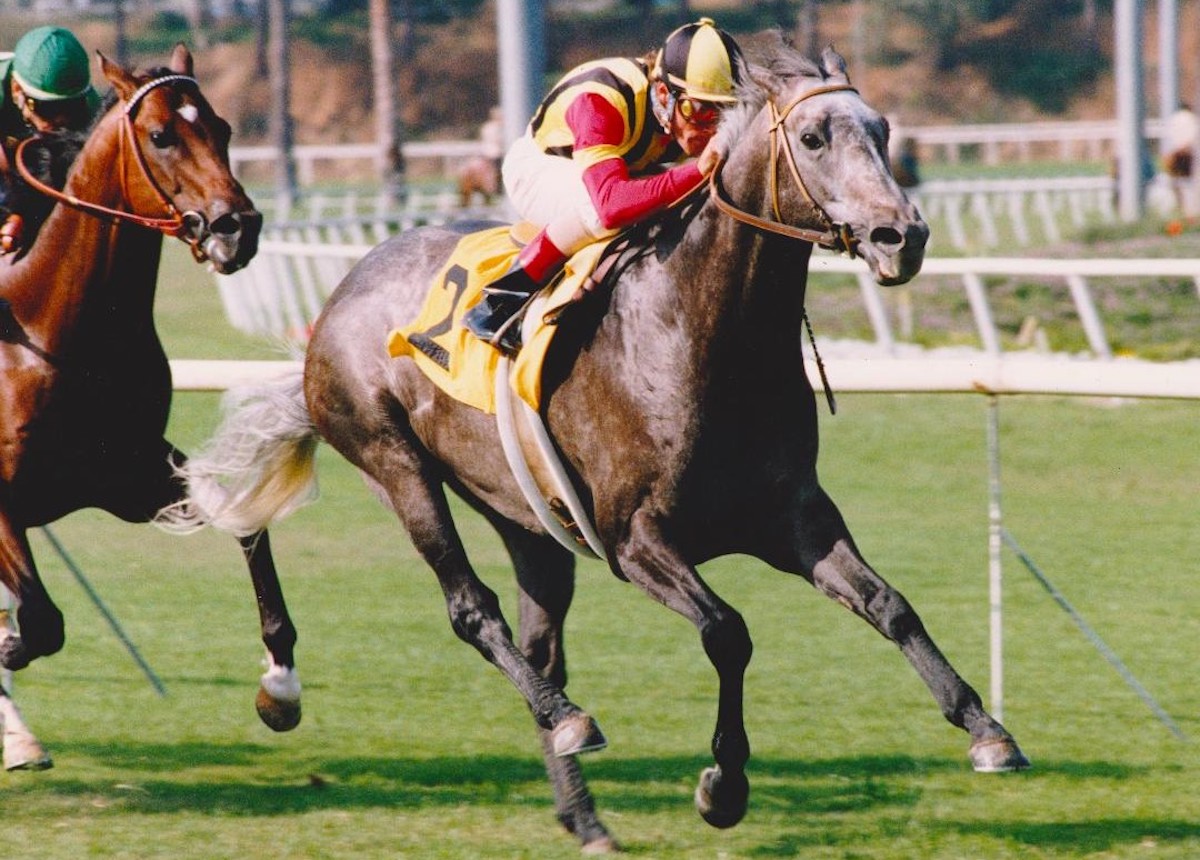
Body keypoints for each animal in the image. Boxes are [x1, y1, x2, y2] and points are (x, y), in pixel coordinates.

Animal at [0, 43, 300, 767]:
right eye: (162, 135)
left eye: (223, 127)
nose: (238, 227)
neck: (59, 337)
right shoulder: (5, 502)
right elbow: (40, 622)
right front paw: (9, 648)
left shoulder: (134, 479)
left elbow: (246, 525)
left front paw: (280, 685)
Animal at [166, 40, 1032, 854]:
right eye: (815, 137)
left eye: (882, 131)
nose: (902, 236)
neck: (702, 334)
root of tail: (336, 300)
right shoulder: (634, 537)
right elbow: (729, 632)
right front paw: (723, 785)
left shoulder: (796, 520)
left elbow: (891, 606)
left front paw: (988, 731)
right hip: (393, 462)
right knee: (472, 610)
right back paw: (569, 718)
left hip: (527, 520)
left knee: (539, 645)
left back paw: (582, 811)